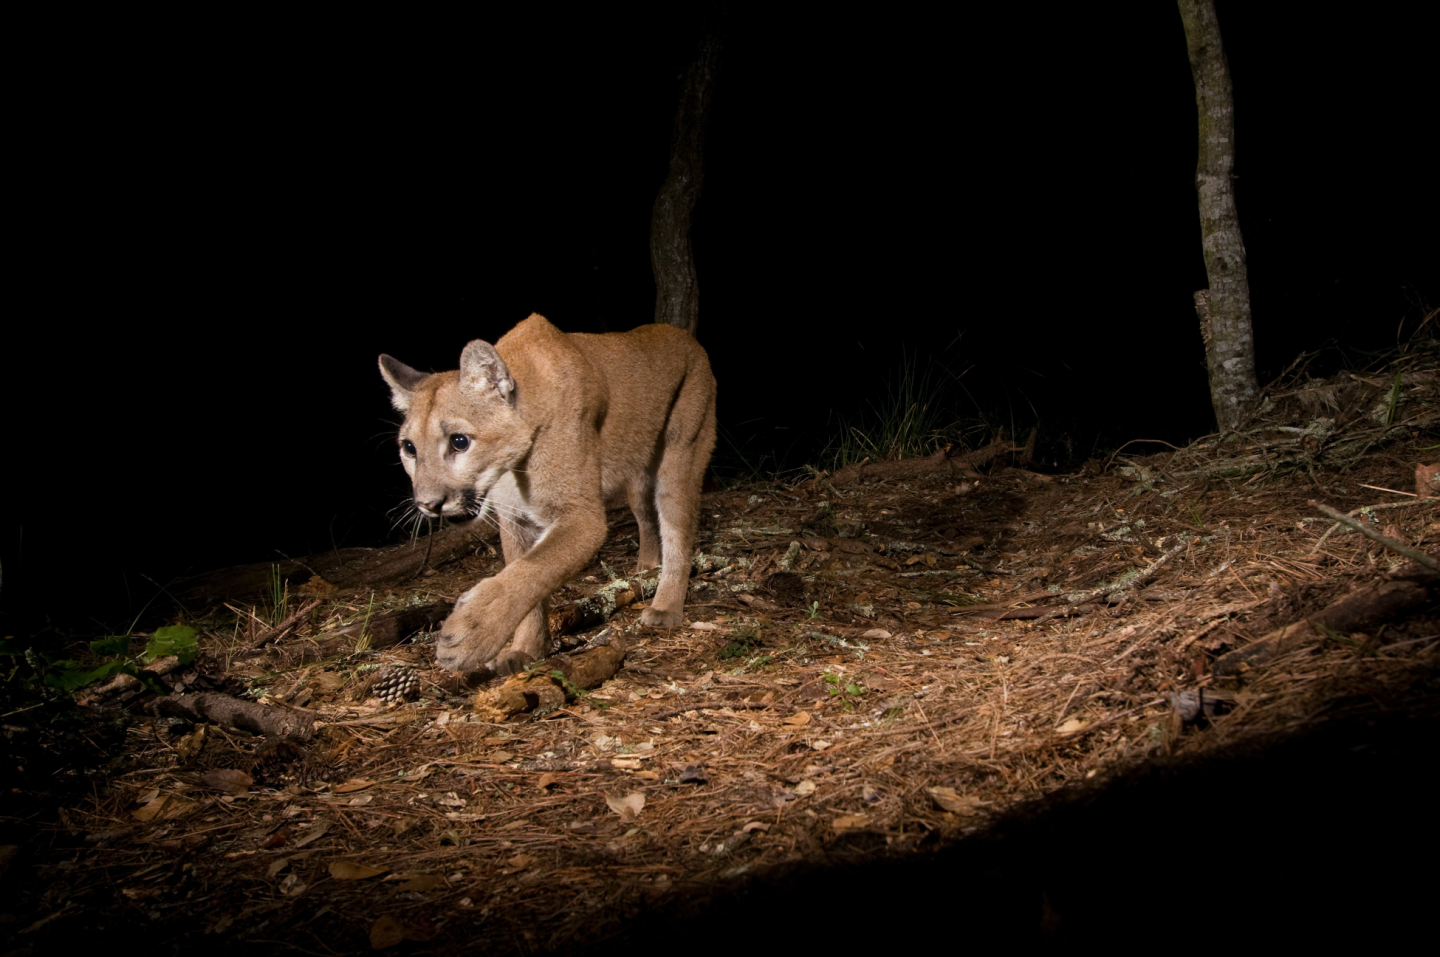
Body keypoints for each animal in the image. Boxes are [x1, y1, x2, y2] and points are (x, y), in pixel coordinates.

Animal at [377, 313, 714, 670]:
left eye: (459, 441)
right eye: (409, 448)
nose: (428, 504)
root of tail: (681, 334)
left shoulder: (582, 517)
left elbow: (533, 570)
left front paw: (472, 632)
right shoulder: (515, 519)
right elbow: (526, 574)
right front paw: (525, 649)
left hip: (680, 456)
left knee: (677, 531)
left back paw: (666, 607)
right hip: (637, 478)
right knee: (647, 520)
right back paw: (646, 569)